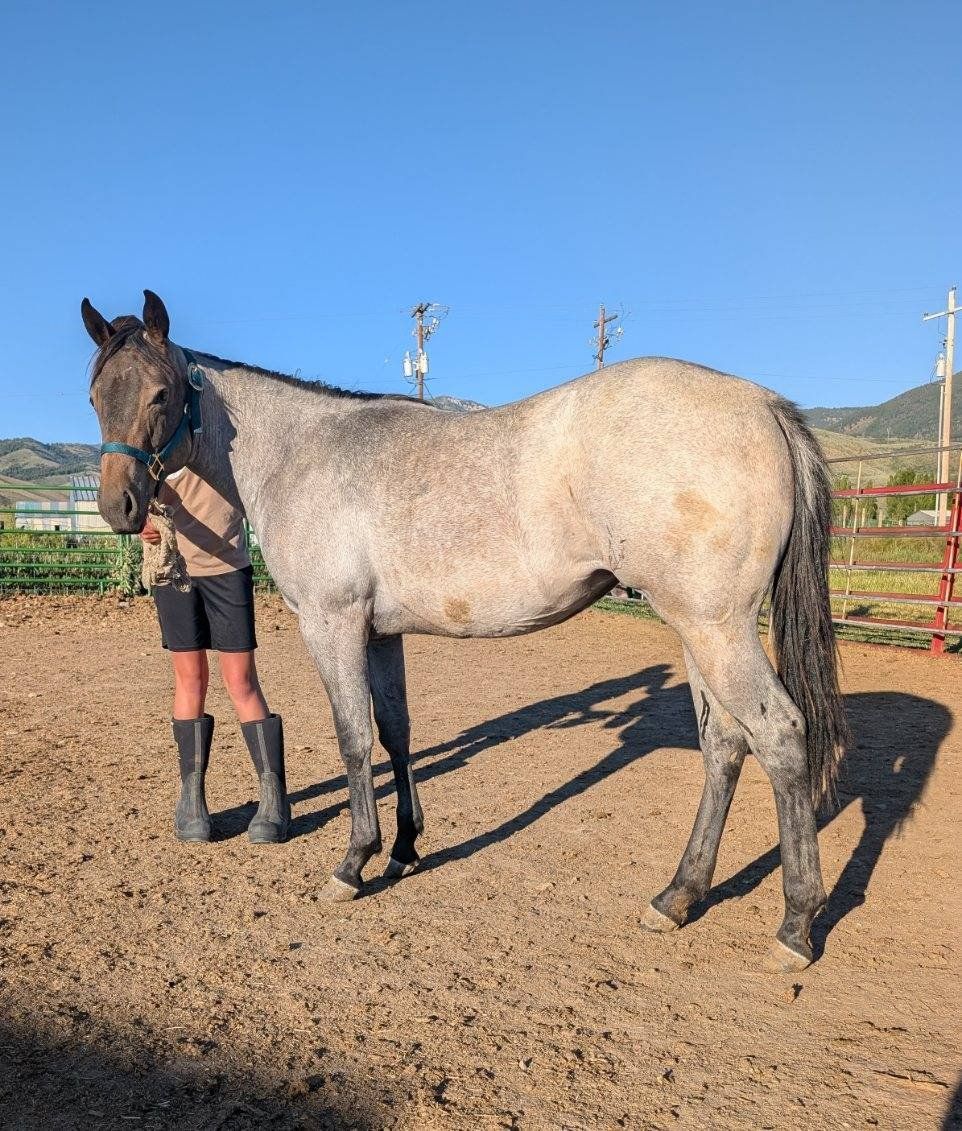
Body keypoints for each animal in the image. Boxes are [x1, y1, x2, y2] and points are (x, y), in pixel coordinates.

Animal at [82, 290, 848, 972]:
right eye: (95, 396)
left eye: (159, 393)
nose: (120, 507)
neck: (301, 450)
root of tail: (764, 405)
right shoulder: (380, 633)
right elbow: (396, 732)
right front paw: (403, 849)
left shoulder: (333, 624)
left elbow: (353, 738)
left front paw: (352, 863)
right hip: (700, 630)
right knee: (723, 743)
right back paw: (678, 896)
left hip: (716, 628)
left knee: (779, 734)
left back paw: (795, 925)